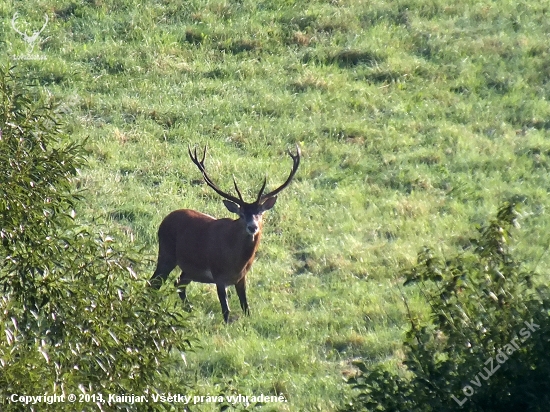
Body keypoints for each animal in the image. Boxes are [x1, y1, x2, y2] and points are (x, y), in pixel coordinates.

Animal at [149, 144, 302, 322]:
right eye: (241, 214)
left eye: (260, 213)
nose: (252, 227)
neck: (237, 262)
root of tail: (164, 220)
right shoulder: (219, 275)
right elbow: (226, 311)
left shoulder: (242, 277)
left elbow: (246, 307)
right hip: (166, 253)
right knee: (154, 282)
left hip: (190, 269)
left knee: (178, 283)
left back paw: (188, 309)